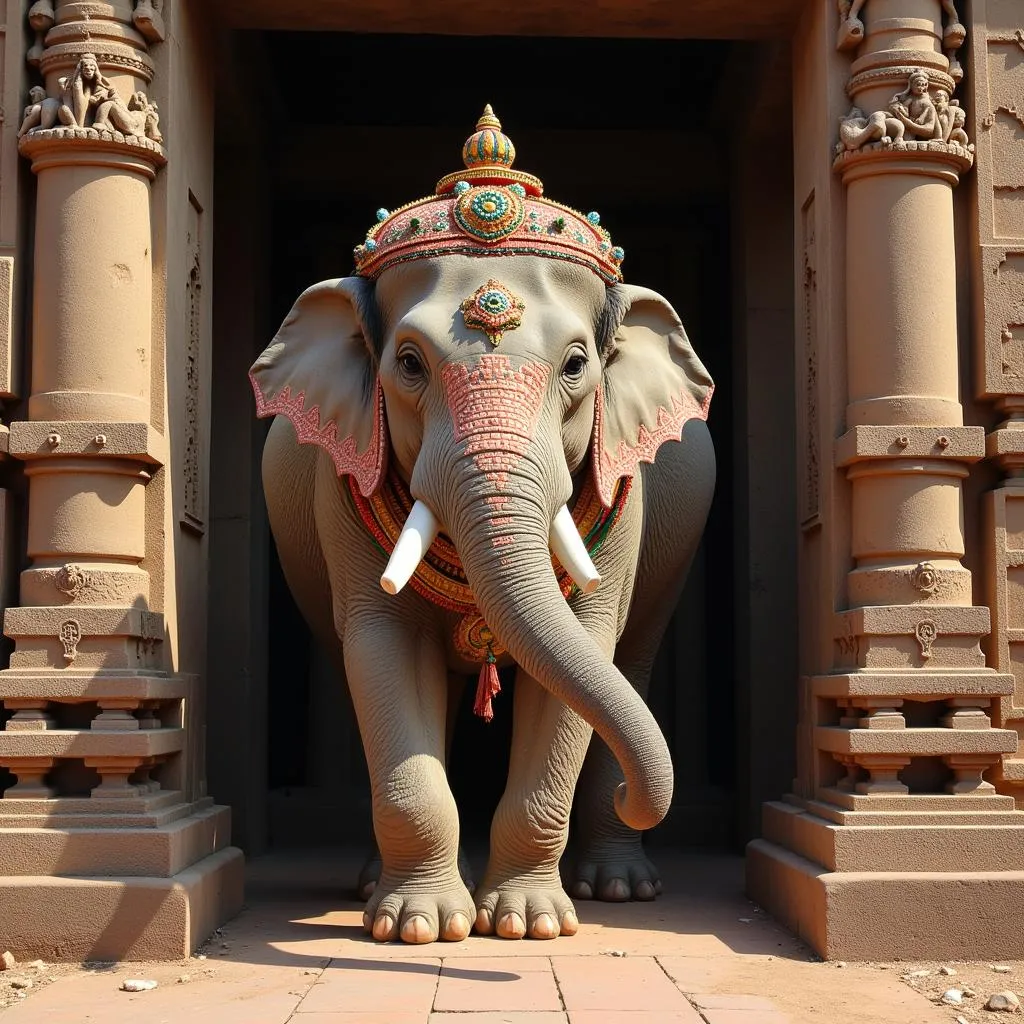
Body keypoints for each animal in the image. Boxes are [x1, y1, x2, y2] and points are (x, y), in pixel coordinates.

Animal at [248, 105, 716, 942]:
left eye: (576, 365)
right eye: (407, 363)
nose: (638, 795)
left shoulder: (626, 494)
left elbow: (584, 646)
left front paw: (530, 925)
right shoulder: (341, 488)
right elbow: (383, 644)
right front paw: (418, 927)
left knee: (626, 666)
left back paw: (619, 888)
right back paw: (375, 884)